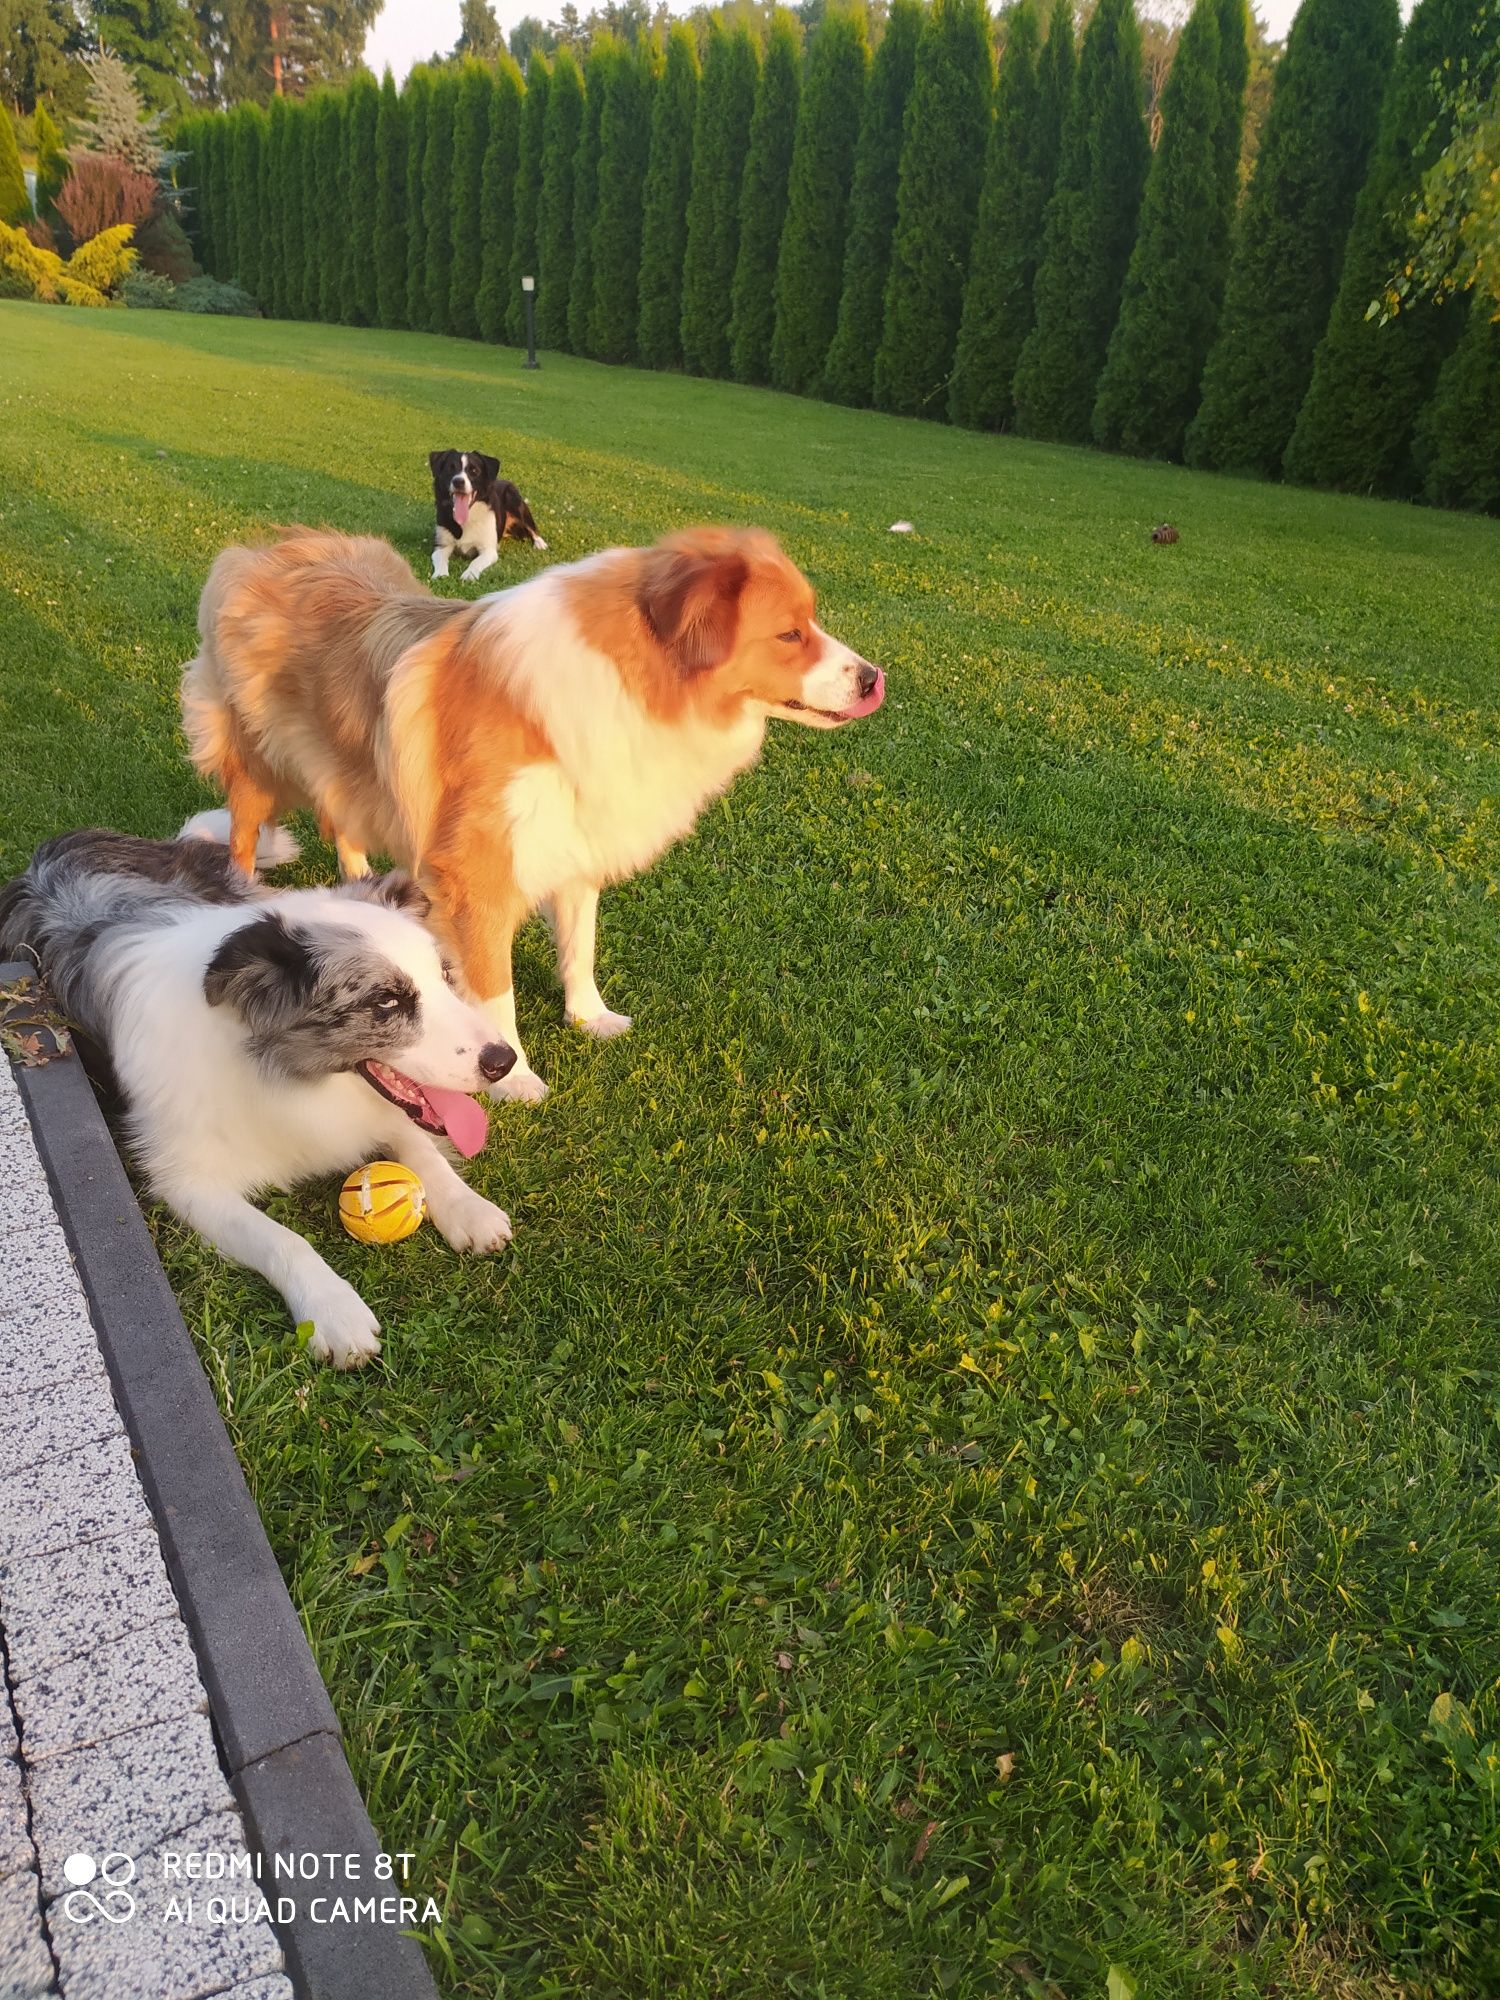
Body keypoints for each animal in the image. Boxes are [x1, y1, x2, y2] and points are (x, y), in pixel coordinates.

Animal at [0, 820, 520, 1368]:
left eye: (446, 977)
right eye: (386, 1000)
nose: (503, 1062)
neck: (284, 1077)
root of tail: (61, 844)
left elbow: (422, 1147)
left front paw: (468, 1208)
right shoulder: (187, 1181)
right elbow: (284, 1240)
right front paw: (334, 1311)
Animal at [178, 524, 888, 1104]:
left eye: (810, 622)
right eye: (789, 633)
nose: (874, 679)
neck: (629, 681)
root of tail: (270, 546)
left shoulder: (575, 844)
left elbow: (580, 945)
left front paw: (588, 1016)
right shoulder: (478, 878)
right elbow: (496, 992)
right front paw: (512, 1076)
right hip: (258, 769)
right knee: (242, 838)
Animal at [432, 450, 548, 584]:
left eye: (474, 471)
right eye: (450, 468)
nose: (458, 482)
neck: (468, 517)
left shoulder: (489, 550)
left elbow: (475, 562)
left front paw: (469, 574)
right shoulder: (441, 545)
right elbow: (440, 559)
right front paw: (440, 575)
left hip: (515, 500)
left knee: (531, 527)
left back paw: (540, 543)